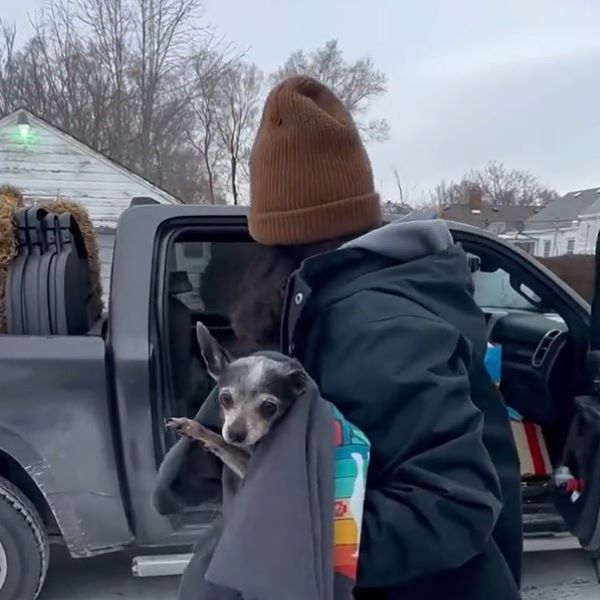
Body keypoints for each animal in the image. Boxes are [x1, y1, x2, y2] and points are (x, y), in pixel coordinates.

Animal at [166, 322, 308, 480]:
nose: (235, 434)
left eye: (269, 407)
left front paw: (199, 432)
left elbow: (222, 442)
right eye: (225, 399)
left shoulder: (247, 469)